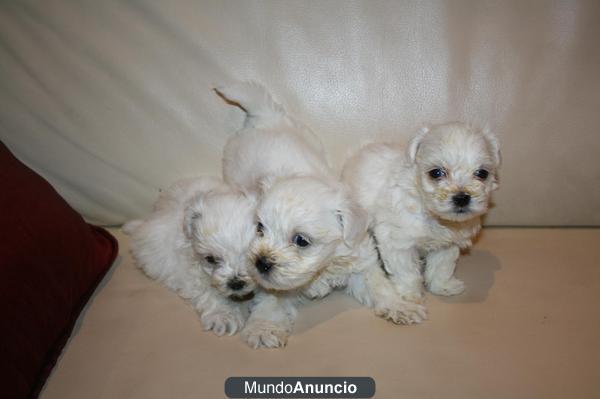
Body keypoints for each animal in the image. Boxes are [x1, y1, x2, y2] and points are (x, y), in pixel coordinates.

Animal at [216, 82, 426, 350]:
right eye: (260, 229)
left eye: (301, 241)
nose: (261, 262)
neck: (324, 265)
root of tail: (265, 116)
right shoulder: (269, 284)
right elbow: (269, 301)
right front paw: (263, 328)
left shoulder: (362, 264)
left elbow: (380, 287)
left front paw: (400, 306)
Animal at [342, 122, 502, 312]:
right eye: (436, 173)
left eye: (482, 173)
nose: (462, 197)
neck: (433, 215)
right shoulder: (397, 242)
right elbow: (407, 272)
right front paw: (410, 295)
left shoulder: (447, 245)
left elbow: (442, 267)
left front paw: (442, 286)